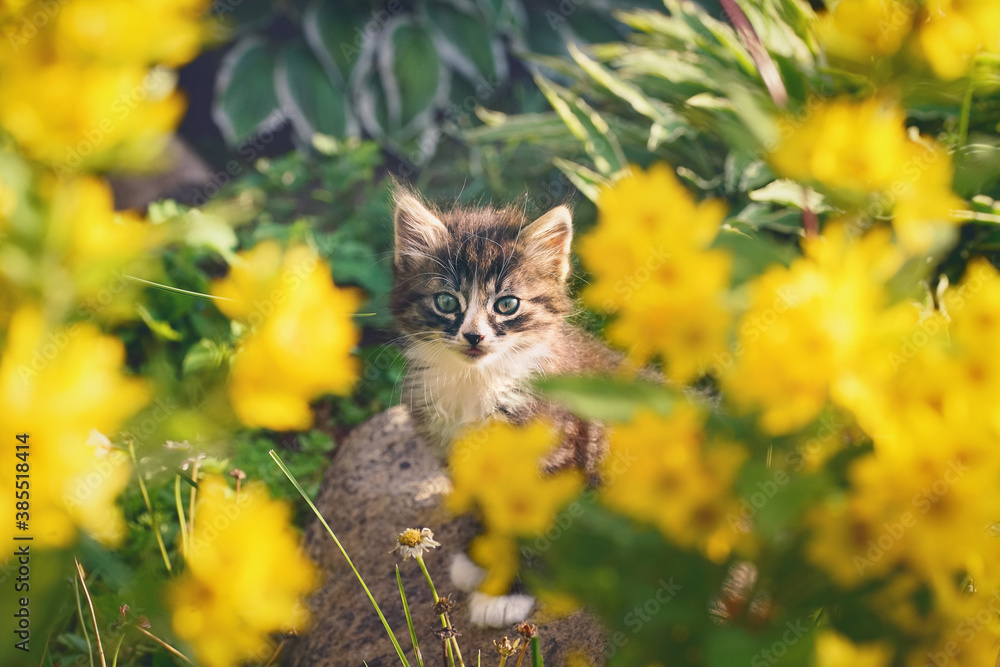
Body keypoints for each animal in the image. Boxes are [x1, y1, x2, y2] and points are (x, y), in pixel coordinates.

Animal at [392, 187, 632, 628]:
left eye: (506, 305)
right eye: (446, 301)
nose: (474, 336)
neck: (479, 382)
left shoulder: (555, 462)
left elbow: (533, 529)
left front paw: (506, 593)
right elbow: (486, 508)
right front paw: (479, 557)